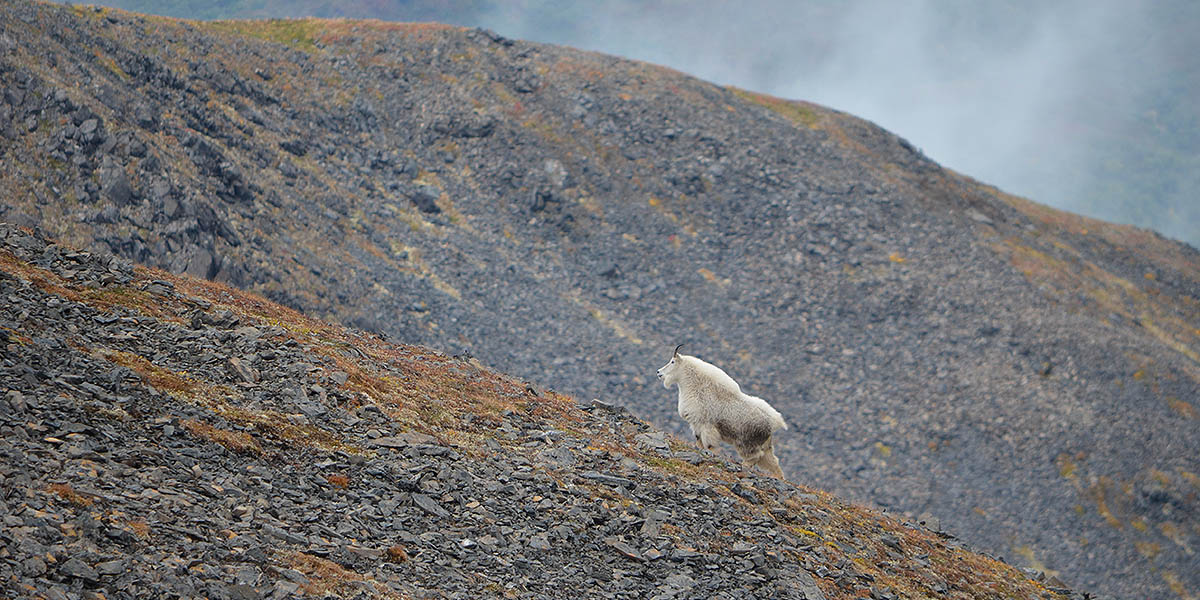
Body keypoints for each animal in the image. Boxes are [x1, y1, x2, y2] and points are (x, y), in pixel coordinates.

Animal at [657, 345, 787, 475]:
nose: (658, 372)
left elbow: (709, 445)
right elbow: (699, 442)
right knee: (773, 463)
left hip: (747, 442)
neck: (695, 385)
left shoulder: (707, 425)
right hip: (765, 445)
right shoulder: (696, 424)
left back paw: (743, 466)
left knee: (755, 457)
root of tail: (776, 422)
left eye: (672, 361)